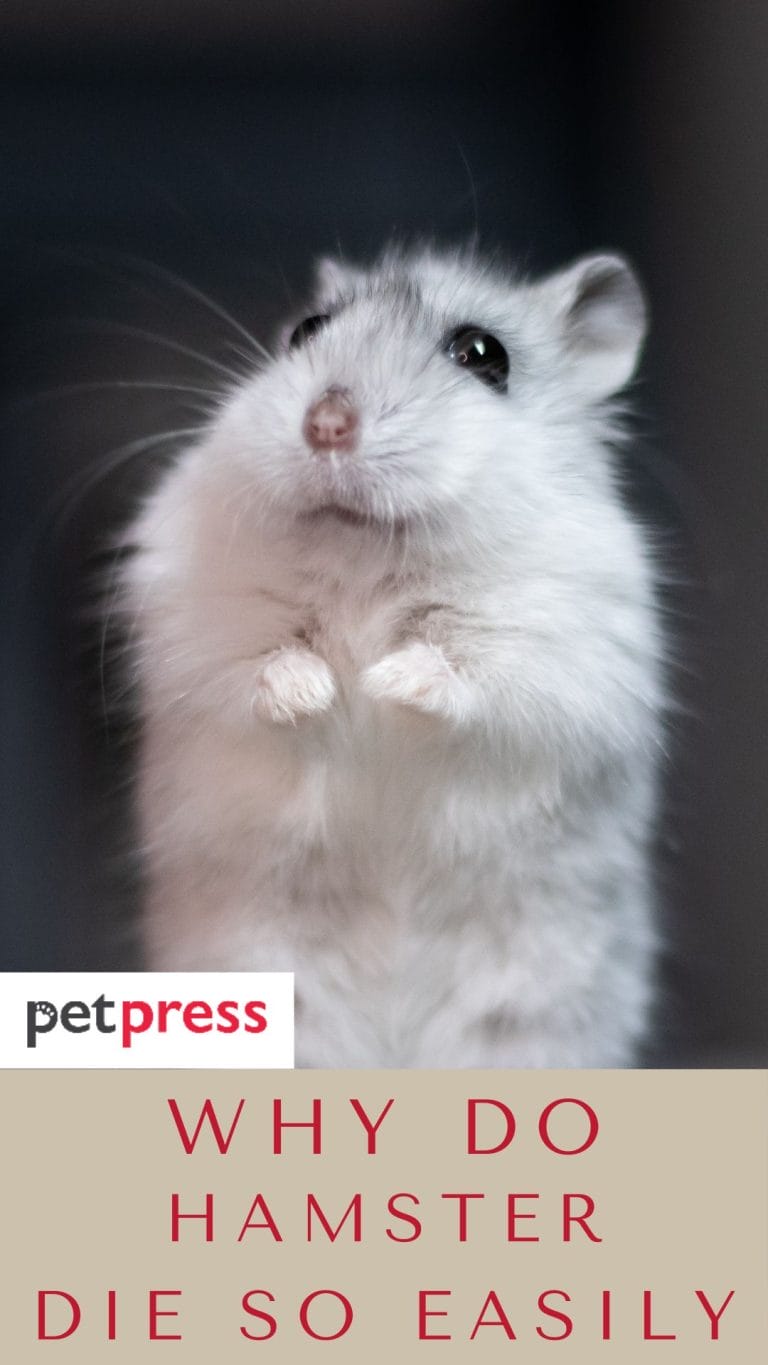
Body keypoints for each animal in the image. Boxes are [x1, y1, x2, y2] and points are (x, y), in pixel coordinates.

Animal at [120, 242, 664, 1067]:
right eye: (306, 331)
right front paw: (319, 690)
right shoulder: (196, 620)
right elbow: (255, 665)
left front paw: (382, 679)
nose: (326, 424)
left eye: (484, 355)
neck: (365, 552)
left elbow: (467, 672)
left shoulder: (563, 650)